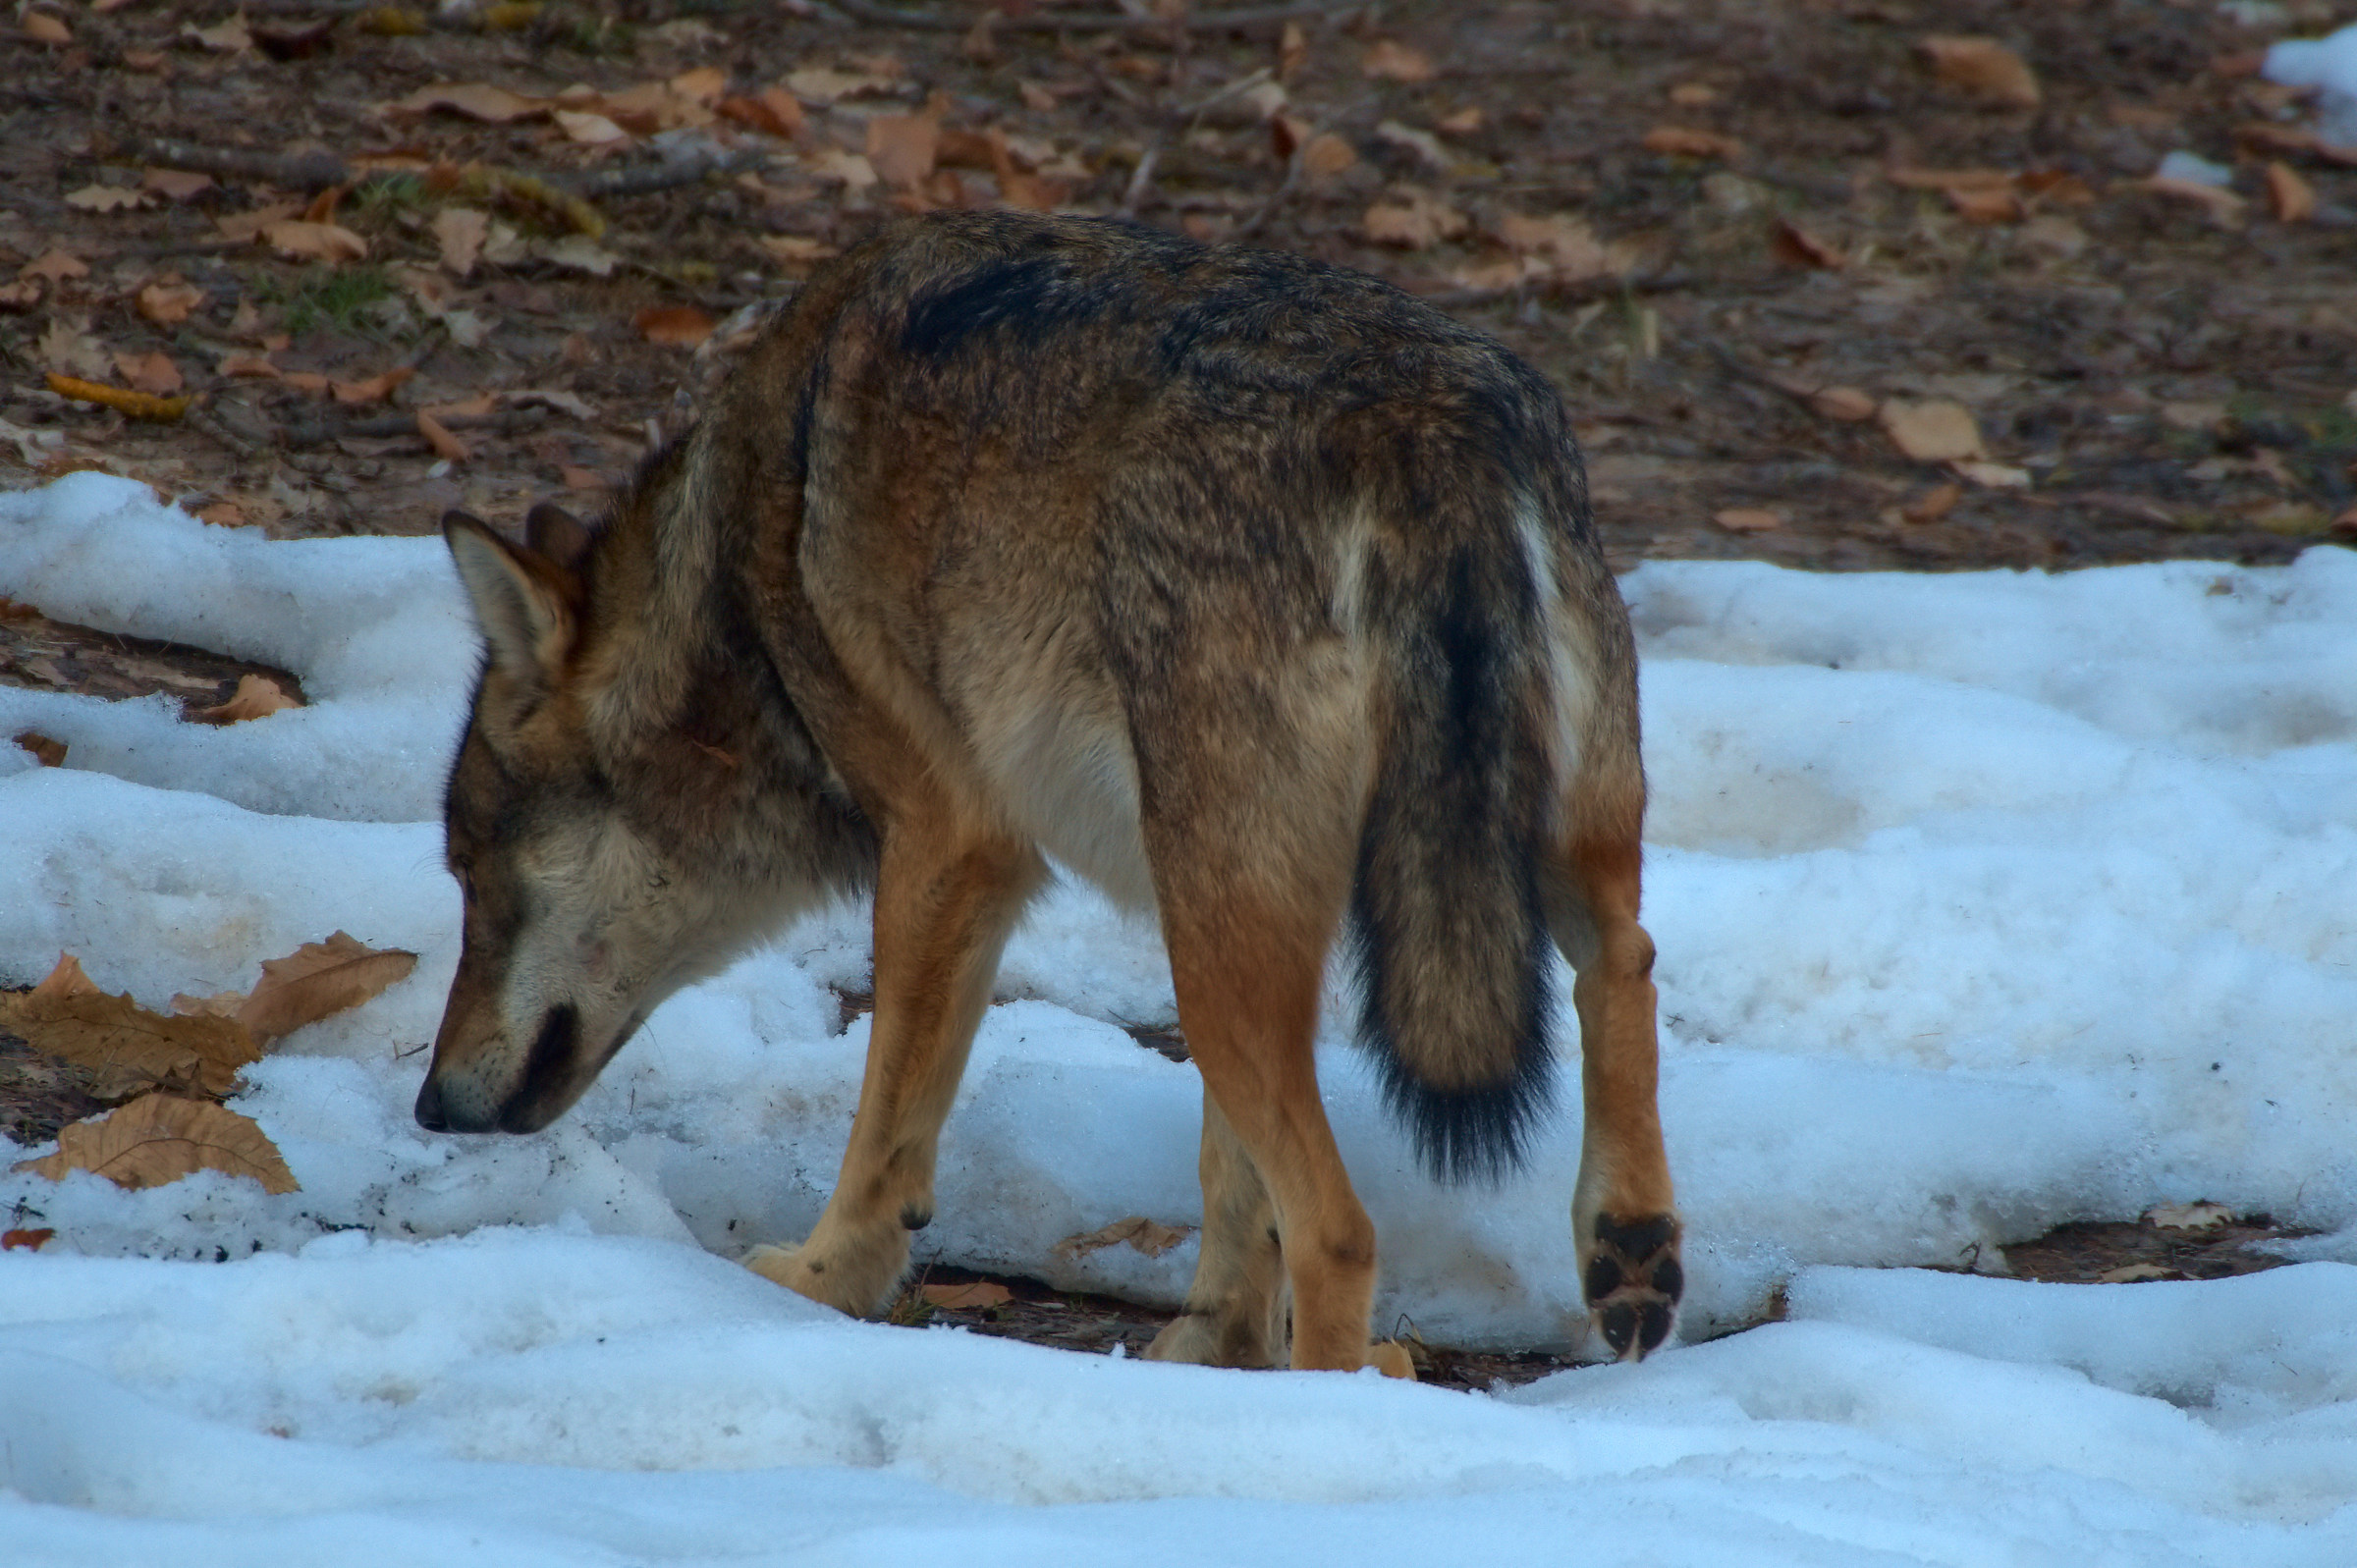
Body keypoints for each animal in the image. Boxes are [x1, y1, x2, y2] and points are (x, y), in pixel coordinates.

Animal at [417, 210, 1681, 1372]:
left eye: (471, 874)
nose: (429, 1106)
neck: (740, 573)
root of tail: (1423, 416)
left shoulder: (952, 847)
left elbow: (887, 1126)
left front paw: (824, 1276)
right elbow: (1230, 1180)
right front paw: (1211, 1346)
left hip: (1216, 949)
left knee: (1340, 1231)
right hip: (1425, 884)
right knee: (1622, 962)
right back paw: (1628, 1246)